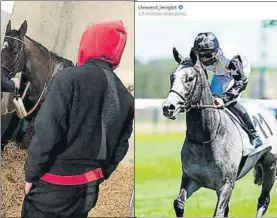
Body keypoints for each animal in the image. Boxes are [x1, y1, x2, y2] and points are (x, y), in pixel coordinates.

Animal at [162, 47, 276, 216]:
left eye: (190, 78)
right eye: (172, 77)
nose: (168, 107)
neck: (206, 136)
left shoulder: (226, 184)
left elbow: (219, 212)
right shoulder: (191, 179)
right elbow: (179, 203)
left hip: (270, 165)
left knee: (264, 200)